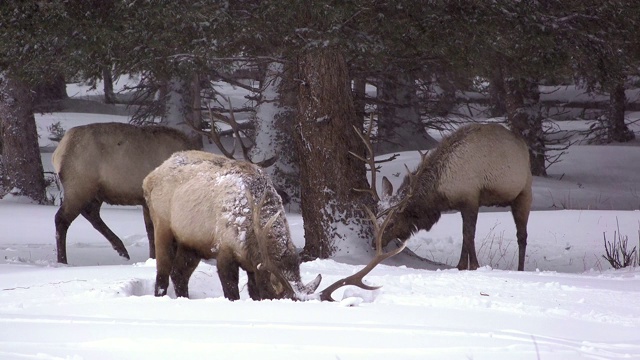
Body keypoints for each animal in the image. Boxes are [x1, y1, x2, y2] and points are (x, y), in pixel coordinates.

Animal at [52, 124, 195, 264]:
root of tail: (58, 152)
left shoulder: (145, 202)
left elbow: (151, 232)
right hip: (79, 186)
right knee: (62, 218)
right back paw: (62, 261)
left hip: (95, 191)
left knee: (91, 213)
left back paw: (121, 249)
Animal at [143, 150, 408, 300]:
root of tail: (149, 176)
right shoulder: (224, 250)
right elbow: (232, 293)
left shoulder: (252, 265)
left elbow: (254, 291)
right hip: (162, 225)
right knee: (162, 274)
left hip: (192, 242)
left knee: (179, 275)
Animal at [362, 123, 532, 270]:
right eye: (375, 218)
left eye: (391, 223)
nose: (373, 243)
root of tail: (523, 145)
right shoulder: (462, 203)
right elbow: (465, 236)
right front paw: (461, 266)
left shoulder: (471, 198)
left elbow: (468, 235)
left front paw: (473, 266)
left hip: (524, 193)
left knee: (522, 236)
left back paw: (520, 269)